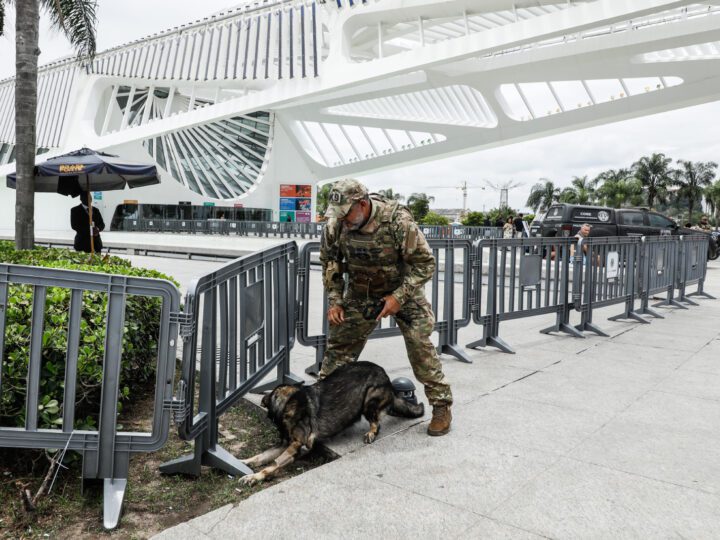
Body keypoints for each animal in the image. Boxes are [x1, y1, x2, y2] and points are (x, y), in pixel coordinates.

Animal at [239, 362, 424, 486]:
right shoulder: (284, 443)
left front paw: (255, 477)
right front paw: (244, 462)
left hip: (369, 399)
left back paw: (371, 433)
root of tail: (387, 377)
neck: (288, 405)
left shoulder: (297, 446)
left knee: (377, 423)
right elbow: (261, 456)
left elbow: (272, 464)